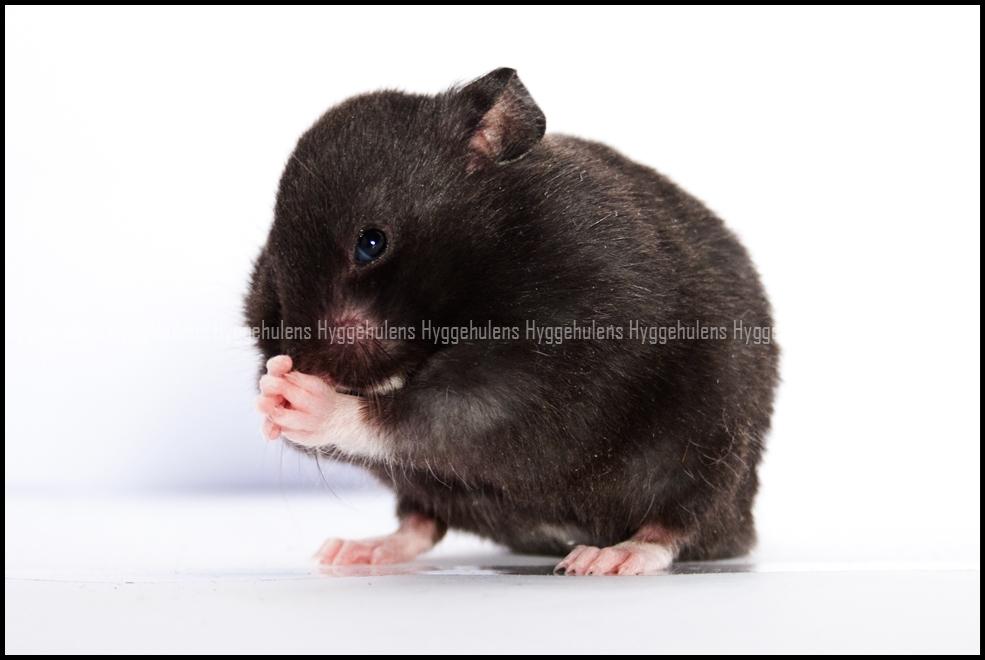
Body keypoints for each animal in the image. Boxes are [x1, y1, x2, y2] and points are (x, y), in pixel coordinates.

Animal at [245, 68, 779, 575]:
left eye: (371, 243)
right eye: (271, 265)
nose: (310, 367)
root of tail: (743, 523)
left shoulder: (553, 368)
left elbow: (435, 415)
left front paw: (300, 396)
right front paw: (270, 393)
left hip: (710, 450)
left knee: (679, 522)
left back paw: (606, 559)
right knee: (420, 521)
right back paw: (350, 551)